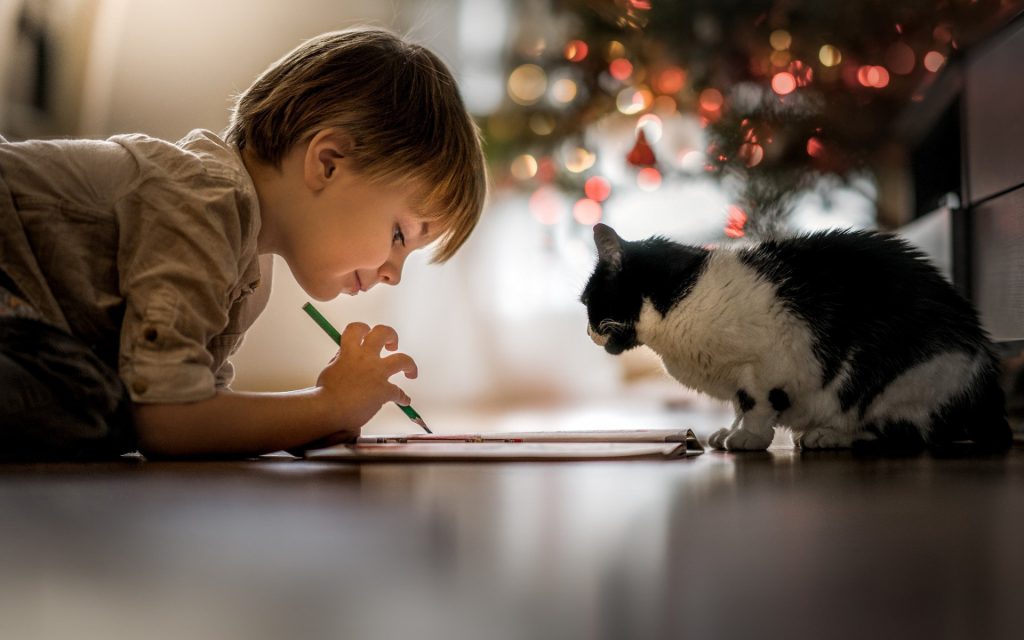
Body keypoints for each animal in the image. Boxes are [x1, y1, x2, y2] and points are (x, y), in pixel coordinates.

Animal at [581, 222, 1011, 452]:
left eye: (587, 302)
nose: (586, 331)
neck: (678, 304)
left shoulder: (769, 362)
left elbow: (756, 404)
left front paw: (749, 437)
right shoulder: (739, 377)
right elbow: (738, 405)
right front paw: (730, 431)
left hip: (912, 377)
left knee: (906, 432)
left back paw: (830, 435)